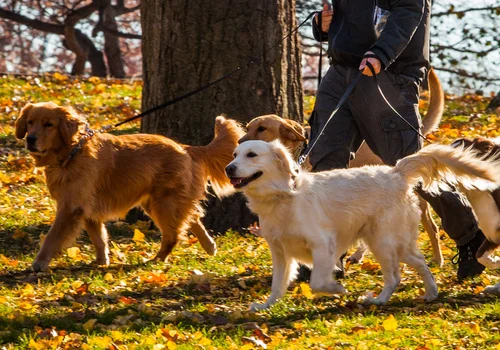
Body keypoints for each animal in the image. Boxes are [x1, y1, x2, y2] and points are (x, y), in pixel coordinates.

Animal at [14, 101, 243, 270]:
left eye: (49, 124)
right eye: (30, 122)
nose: (30, 139)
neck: (73, 152)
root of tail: (186, 148)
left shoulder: (71, 208)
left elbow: (52, 237)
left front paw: (39, 263)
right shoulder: (88, 210)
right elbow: (99, 238)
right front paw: (102, 262)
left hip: (163, 203)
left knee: (174, 235)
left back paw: (156, 260)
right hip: (157, 202)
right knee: (192, 217)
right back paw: (209, 246)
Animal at [228, 139, 500, 308]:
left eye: (252, 155)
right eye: (234, 155)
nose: (229, 168)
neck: (283, 196)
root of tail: (396, 172)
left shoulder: (322, 244)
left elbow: (317, 281)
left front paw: (337, 289)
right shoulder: (279, 252)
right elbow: (277, 285)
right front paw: (266, 306)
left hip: (383, 242)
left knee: (395, 277)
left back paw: (379, 300)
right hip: (392, 242)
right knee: (420, 262)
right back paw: (431, 293)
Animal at [241, 67, 446, 266]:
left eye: (262, 129)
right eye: (248, 127)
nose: (239, 143)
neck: (298, 154)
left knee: (432, 227)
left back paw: (438, 258)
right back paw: (358, 255)